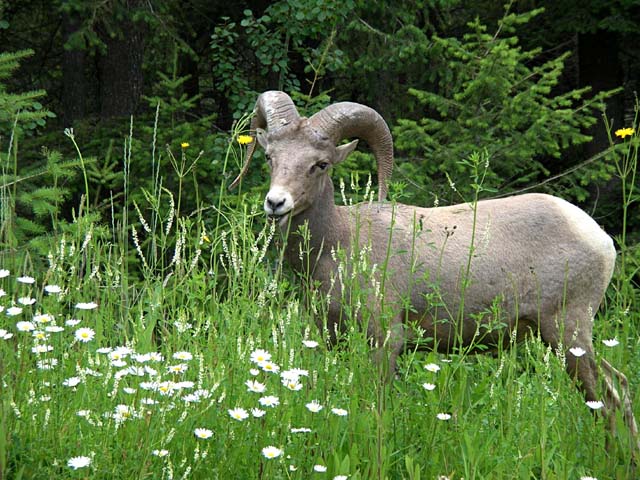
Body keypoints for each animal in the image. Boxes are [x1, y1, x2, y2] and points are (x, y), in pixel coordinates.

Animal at [230, 91, 640, 454]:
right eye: (270, 156)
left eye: (321, 164)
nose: (276, 203)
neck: (339, 242)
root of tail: (600, 238)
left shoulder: (385, 340)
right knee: (617, 391)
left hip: (567, 333)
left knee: (609, 400)